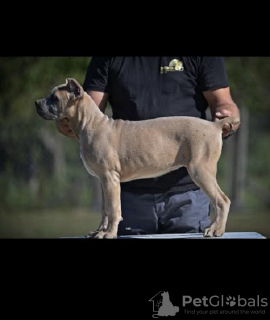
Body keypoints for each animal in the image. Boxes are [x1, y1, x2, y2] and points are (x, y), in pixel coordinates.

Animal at [34, 78, 239, 238]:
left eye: (54, 98)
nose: (36, 102)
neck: (89, 123)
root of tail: (214, 125)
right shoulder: (103, 180)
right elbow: (105, 209)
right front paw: (99, 232)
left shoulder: (110, 178)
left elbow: (113, 209)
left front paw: (109, 234)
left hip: (200, 170)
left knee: (222, 200)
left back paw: (216, 230)